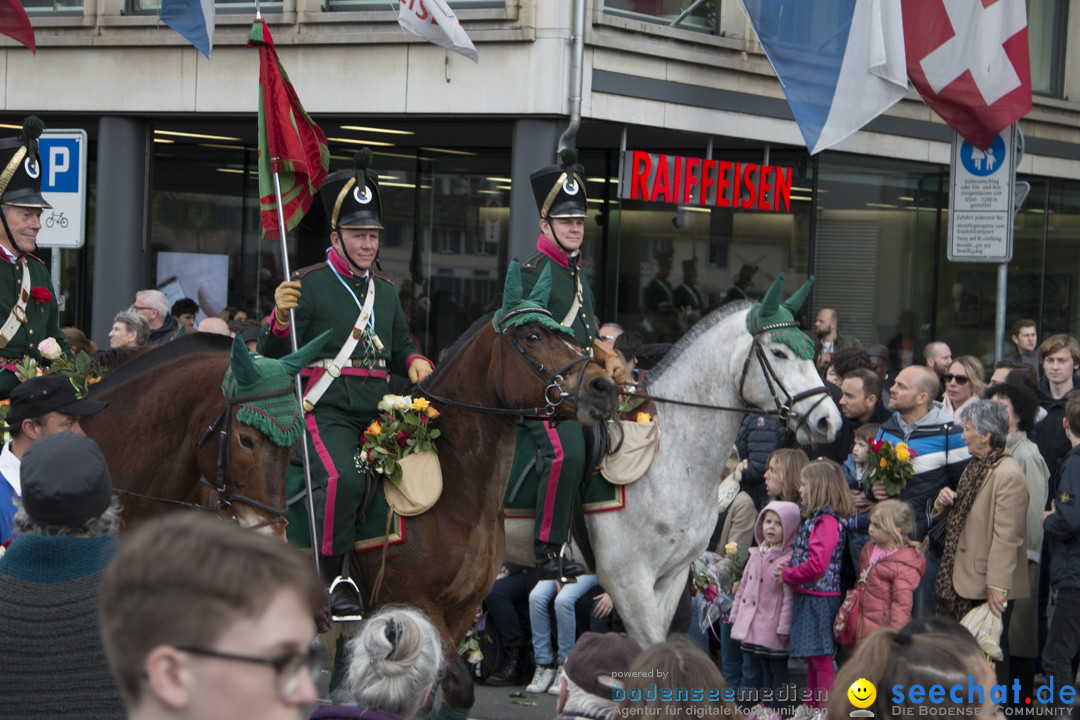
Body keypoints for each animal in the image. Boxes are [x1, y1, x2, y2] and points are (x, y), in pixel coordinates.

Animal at [356, 313, 617, 716]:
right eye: (533, 336)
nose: (604, 386)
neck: (456, 484)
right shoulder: (411, 599)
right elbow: (456, 685)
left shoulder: (461, 607)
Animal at [501, 278, 838, 643]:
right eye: (779, 352)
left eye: (811, 350)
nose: (829, 420)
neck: (673, 458)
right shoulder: (628, 582)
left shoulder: (671, 578)